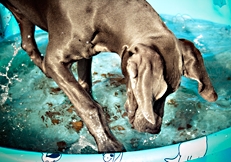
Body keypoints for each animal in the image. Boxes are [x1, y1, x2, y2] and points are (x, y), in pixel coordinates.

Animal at [0, 0, 217, 153]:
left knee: (27, 43)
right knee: (30, 46)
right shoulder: (55, 60)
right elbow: (88, 105)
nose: (154, 130)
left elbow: (85, 88)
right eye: (156, 94)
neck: (100, 12)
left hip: (22, 14)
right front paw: (107, 144)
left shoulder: (84, 54)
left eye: (171, 93)